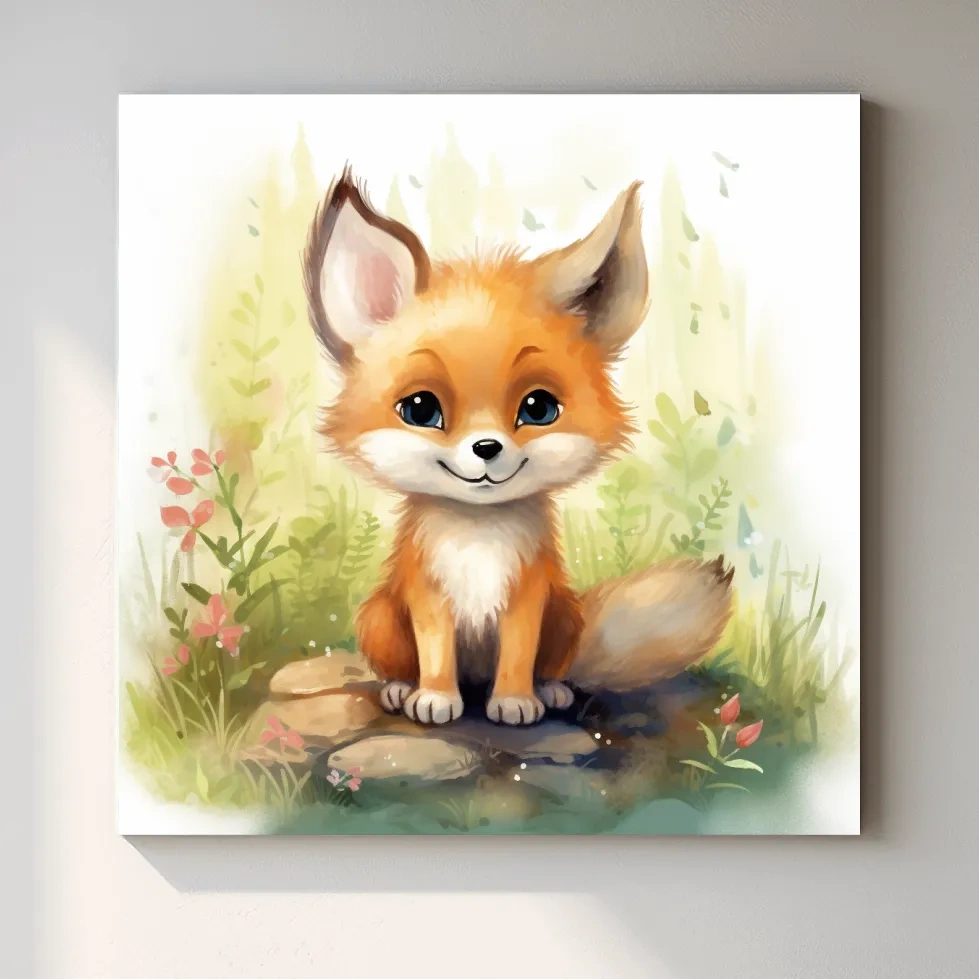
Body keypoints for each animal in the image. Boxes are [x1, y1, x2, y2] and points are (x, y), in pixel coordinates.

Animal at [302, 167, 733, 727]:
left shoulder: (529, 596)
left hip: (565, 615)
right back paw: (401, 689)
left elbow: (518, 653)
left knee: (554, 665)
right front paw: (435, 697)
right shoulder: (428, 595)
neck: (479, 537)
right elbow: (435, 653)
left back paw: (550, 690)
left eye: (538, 408)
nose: (487, 448)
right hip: (378, 616)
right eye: (420, 409)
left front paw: (514, 700)